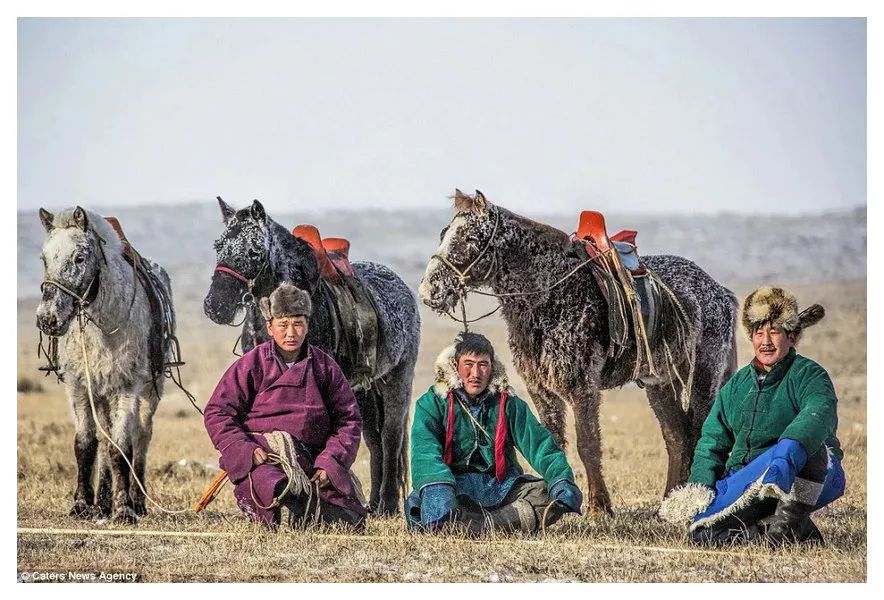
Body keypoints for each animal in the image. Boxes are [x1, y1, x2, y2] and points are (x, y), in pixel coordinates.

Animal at [37, 205, 177, 520]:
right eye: (44, 258)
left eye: (79, 257)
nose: (47, 319)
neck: (104, 326)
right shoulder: (79, 387)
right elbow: (86, 444)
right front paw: (82, 503)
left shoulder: (126, 388)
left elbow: (122, 446)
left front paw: (124, 507)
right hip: (101, 395)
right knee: (104, 439)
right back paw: (102, 501)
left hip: (150, 392)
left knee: (141, 436)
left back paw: (137, 500)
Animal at [418, 191, 736, 516]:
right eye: (444, 234)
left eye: (469, 238)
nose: (429, 291)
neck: (549, 296)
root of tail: (718, 292)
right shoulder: (541, 390)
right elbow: (552, 442)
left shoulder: (582, 388)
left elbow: (588, 444)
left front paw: (599, 508)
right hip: (660, 384)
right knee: (677, 437)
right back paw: (669, 502)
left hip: (703, 376)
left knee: (696, 432)